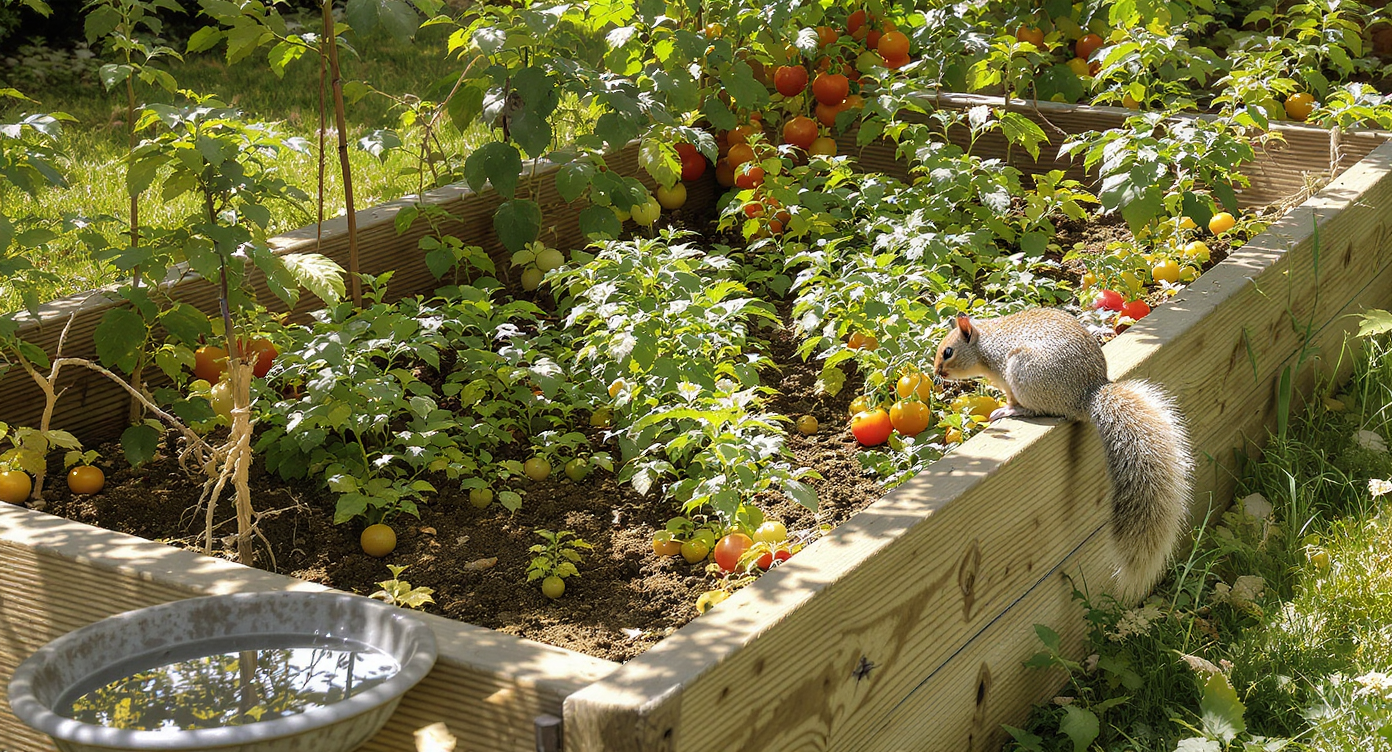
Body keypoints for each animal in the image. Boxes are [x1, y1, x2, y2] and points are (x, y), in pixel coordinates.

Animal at [932, 307, 1192, 600]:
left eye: (948, 352)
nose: (937, 372)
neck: (985, 345)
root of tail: (1087, 395)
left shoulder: (1007, 378)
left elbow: (1009, 397)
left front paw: (1004, 407)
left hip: (1025, 374)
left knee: (1037, 409)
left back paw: (1012, 411)